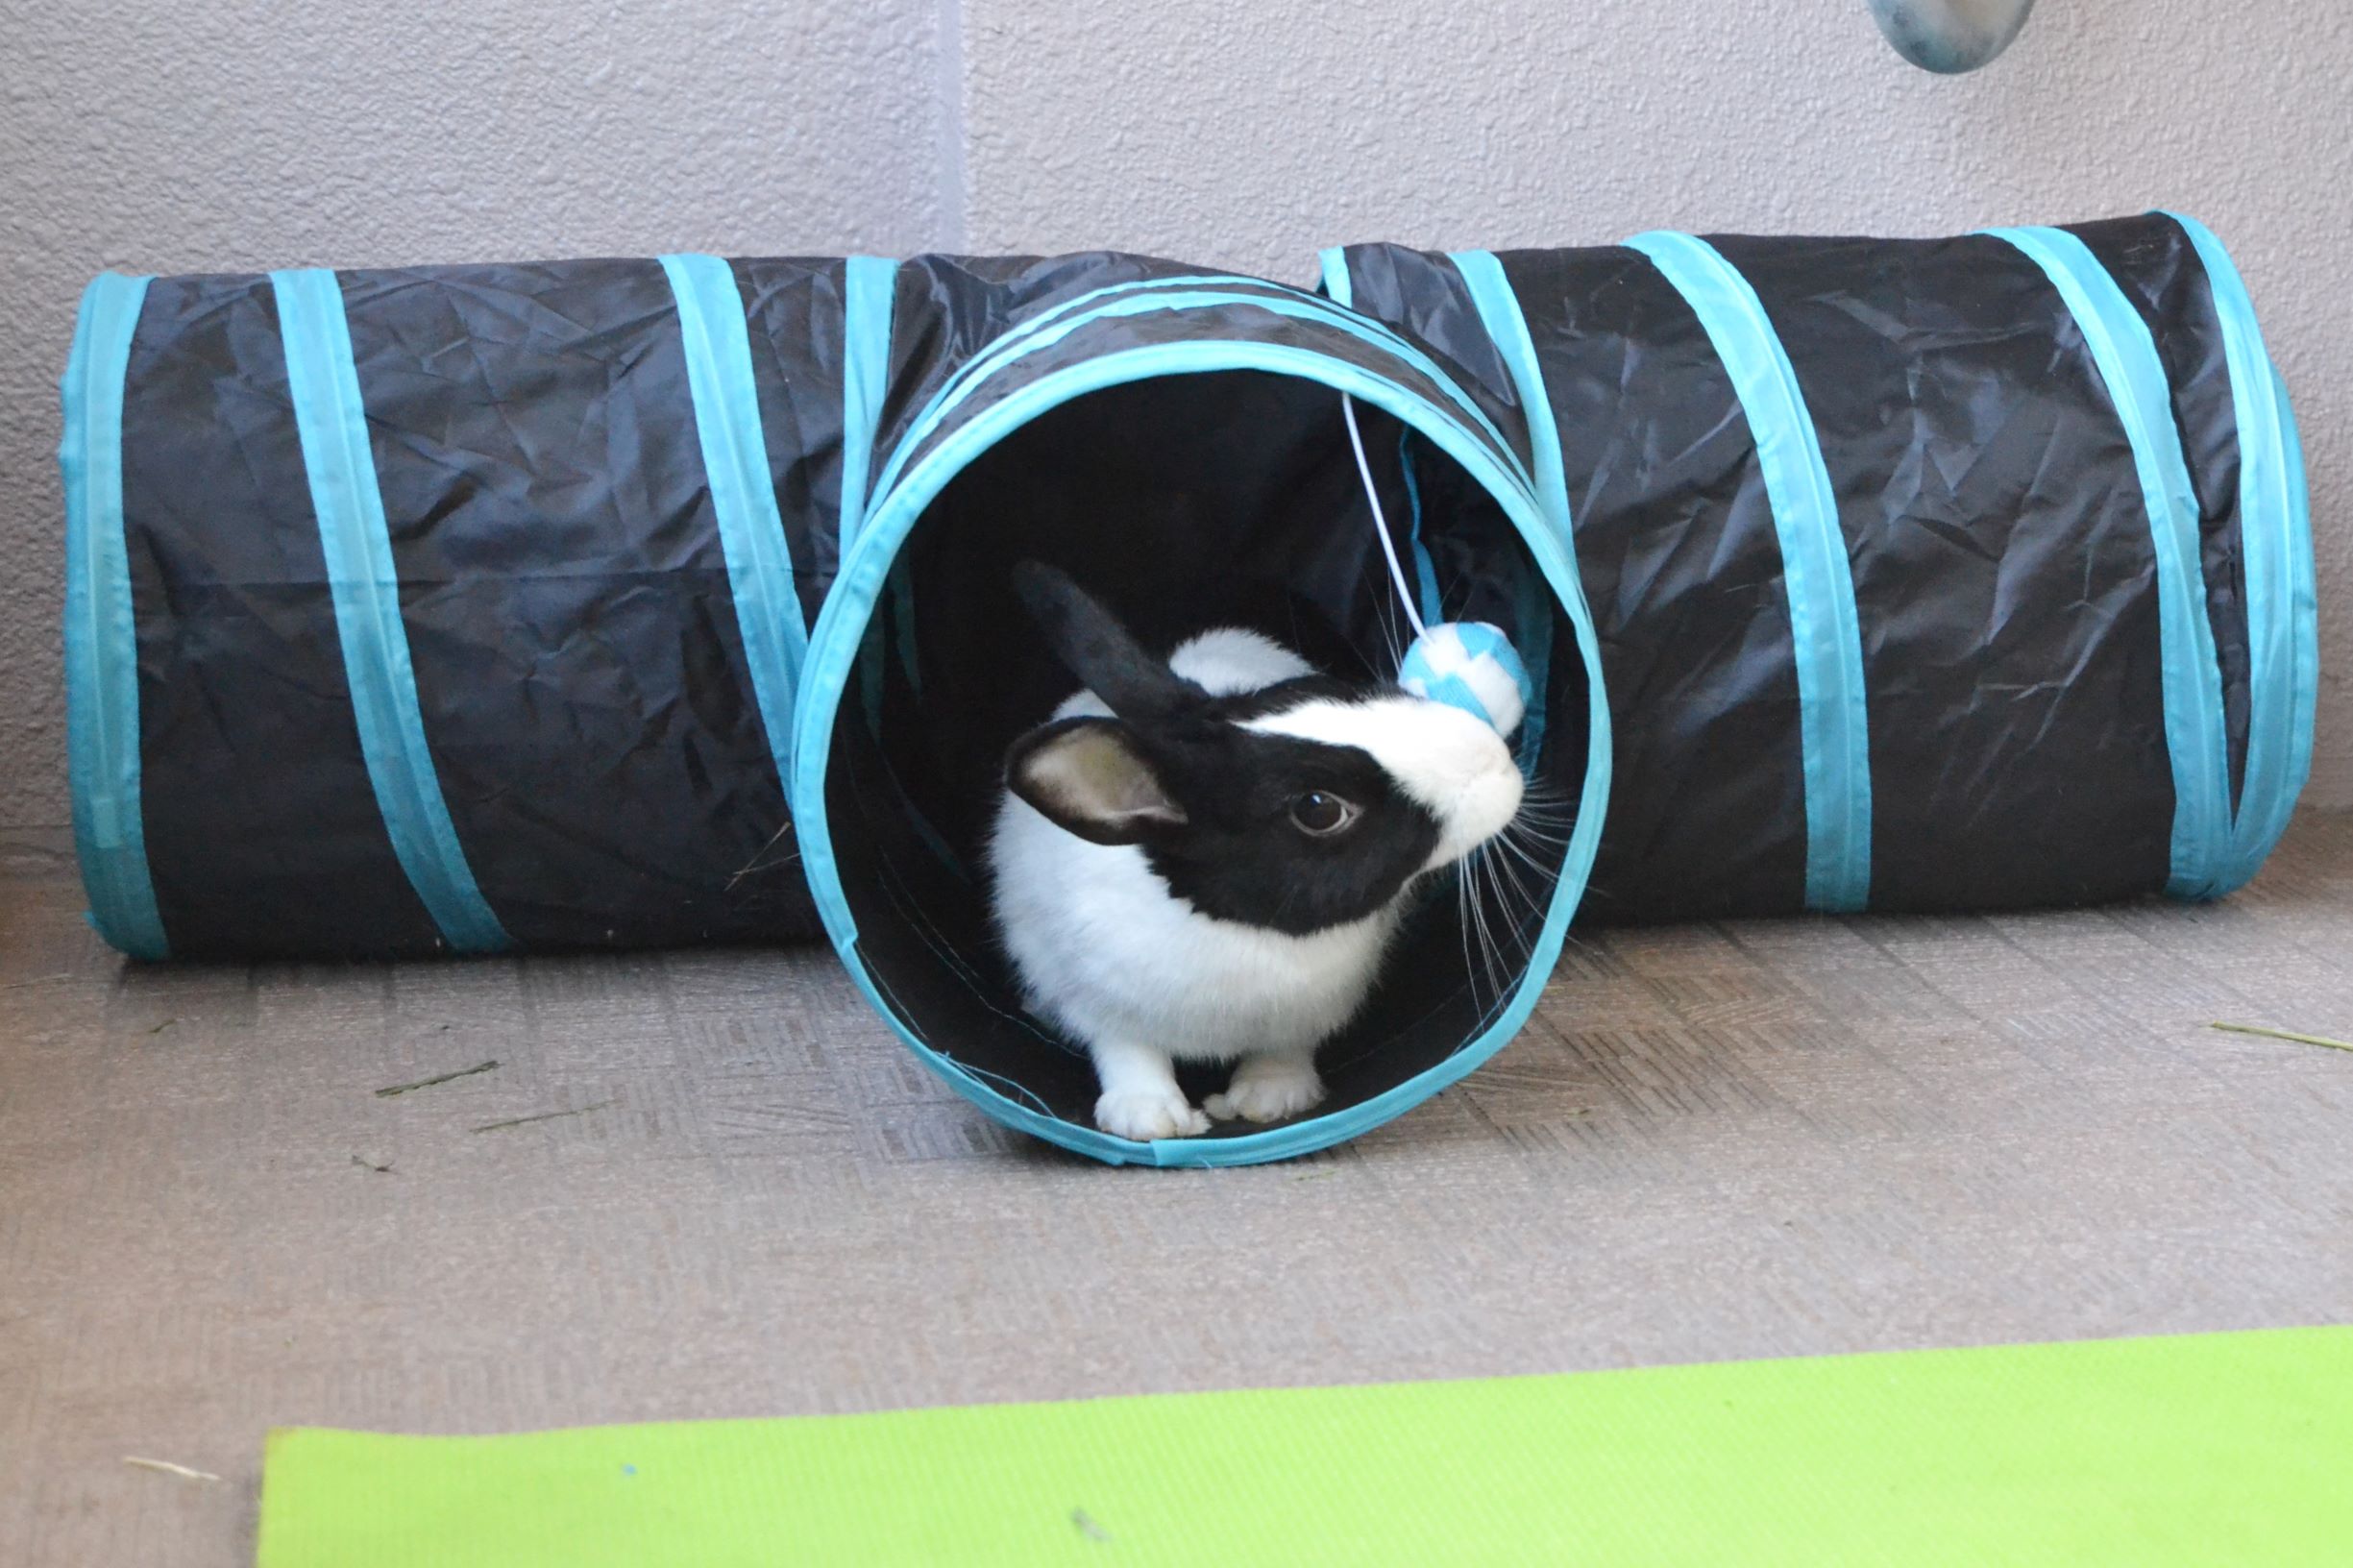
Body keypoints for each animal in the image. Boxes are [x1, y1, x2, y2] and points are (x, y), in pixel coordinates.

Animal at [989, 562, 1526, 1142]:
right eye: (1318, 809)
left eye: (1332, 691)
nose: (1497, 760)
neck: (1246, 931)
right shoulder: (1092, 994)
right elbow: (1127, 1049)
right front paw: (1150, 1119)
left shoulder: (1308, 1012)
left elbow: (1284, 1048)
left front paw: (1270, 1099)